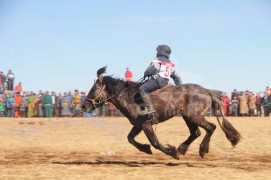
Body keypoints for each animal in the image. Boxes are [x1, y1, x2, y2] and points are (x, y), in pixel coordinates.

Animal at [82, 67, 241, 160]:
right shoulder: (138, 125)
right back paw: (183, 148)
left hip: (194, 116)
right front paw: (145, 149)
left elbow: (155, 142)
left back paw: (201, 150)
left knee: (210, 127)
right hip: (188, 117)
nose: (84, 105)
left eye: (93, 89)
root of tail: (207, 91)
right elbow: (130, 138)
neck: (130, 97)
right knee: (196, 132)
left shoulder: (146, 124)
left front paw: (171, 152)